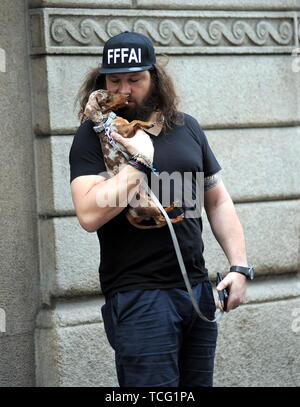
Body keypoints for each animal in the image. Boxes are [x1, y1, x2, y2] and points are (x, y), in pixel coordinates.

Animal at [83, 89, 184, 230]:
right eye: (107, 97)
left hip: (151, 202)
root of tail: (129, 214)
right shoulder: (124, 132)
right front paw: (148, 124)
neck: (105, 121)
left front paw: (146, 126)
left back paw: (171, 207)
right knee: (160, 220)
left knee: (161, 215)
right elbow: (136, 121)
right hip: (148, 206)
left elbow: (135, 123)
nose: (125, 95)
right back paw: (176, 218)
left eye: (111, 91)